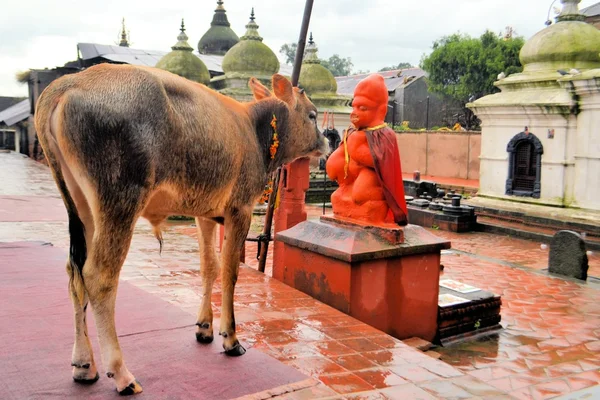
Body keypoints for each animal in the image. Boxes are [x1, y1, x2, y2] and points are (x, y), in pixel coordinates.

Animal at [34, 64, 328, 396]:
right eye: (313, 115)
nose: (328, 142)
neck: (255, 131)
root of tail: (70, 82)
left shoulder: (207, 215)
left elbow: (209, 267)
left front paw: (204, 328)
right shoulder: (239, 209)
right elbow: (230, 272)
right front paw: (230, 338)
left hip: (82, 206)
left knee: (75, 274)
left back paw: (84, 365)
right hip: (120, 201)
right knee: (99, 277)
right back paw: (121, 375)